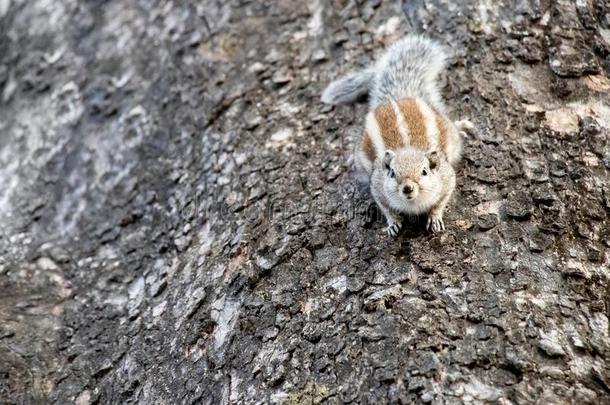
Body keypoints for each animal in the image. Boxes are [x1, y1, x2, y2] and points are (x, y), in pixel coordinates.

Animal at [320, 36, 472, 237]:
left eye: (424, 171)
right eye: (392, 173)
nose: (407, 188)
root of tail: (399, 96)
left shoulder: (446, 178)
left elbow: (441, 200)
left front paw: (435, 217)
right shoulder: (378, 186)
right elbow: (385, 207)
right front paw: (393, 223)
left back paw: (461, 126)